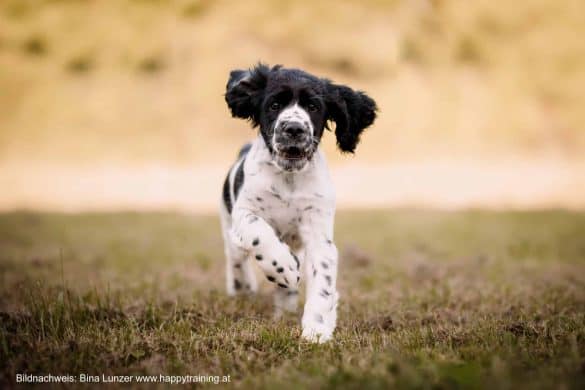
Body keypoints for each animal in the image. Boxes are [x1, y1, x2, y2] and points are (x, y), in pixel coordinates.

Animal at [218, 63, 374, 342]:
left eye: (313, 106)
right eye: (274, 104)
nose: (294, 129)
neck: (288, 176)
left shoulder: (319, 236)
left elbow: (322, 281)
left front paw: (317, 330)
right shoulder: (244, 213)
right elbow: (259, 234)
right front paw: (285, 268)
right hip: (229, 231)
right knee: (237, 262)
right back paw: (244, 288)